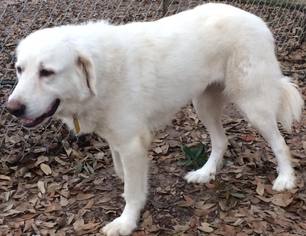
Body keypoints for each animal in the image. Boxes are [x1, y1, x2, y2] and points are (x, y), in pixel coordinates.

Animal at [6, 2, 304, 235]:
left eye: (46, 72)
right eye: (20, 69)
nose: (12, 108)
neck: (100, 73)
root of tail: (256, 19)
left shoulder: (132, 144)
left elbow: (133, 189)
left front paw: (126, 222)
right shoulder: (118, 140)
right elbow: (123, 174)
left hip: (253, 105)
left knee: (280, 143)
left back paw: (285, 179)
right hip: (203, 104)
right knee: (221, 141)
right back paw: (205, 173)